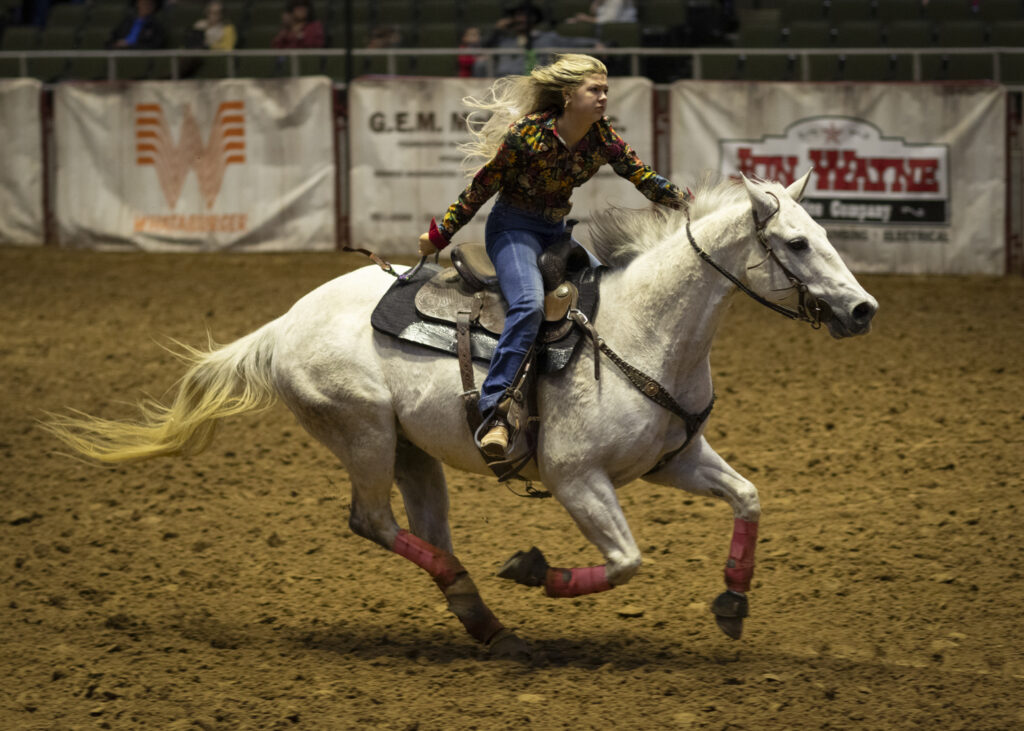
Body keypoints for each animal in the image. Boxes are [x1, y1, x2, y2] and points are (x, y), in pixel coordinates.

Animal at [48, 174, 876, 659]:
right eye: (797, 242)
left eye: (828, 234)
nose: (863, 309)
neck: (643, 330)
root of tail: (281, 325)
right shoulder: (578, 479)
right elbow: (627, 560)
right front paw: (536, 569)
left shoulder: (674, 459)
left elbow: (748, 496)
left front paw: (733, 601)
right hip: (364, 434)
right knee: (372, 520)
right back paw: (477, 589)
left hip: (415, 454)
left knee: (421, 528)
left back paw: (478, 613)